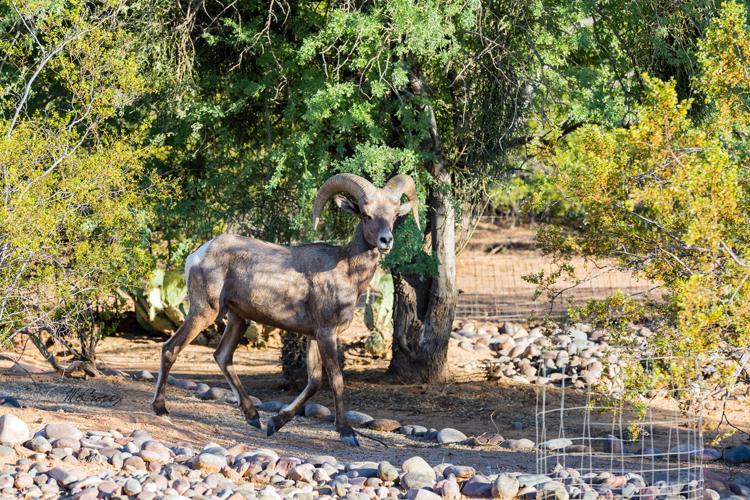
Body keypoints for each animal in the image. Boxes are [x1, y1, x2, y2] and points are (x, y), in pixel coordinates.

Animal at [151, 173, 419, 446]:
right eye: (366, 215)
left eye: (394, 216)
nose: (386, 241)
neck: (347, 272)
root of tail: (197, 255)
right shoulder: (326, 334)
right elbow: (336, 380)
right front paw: (347, 433)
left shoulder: (314, 337)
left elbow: (314, 382)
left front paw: (275, 423)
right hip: (204, 312)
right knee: (171, 348)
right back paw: (161, 410)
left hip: (238, 319)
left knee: (222, 356)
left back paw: (253, 417)